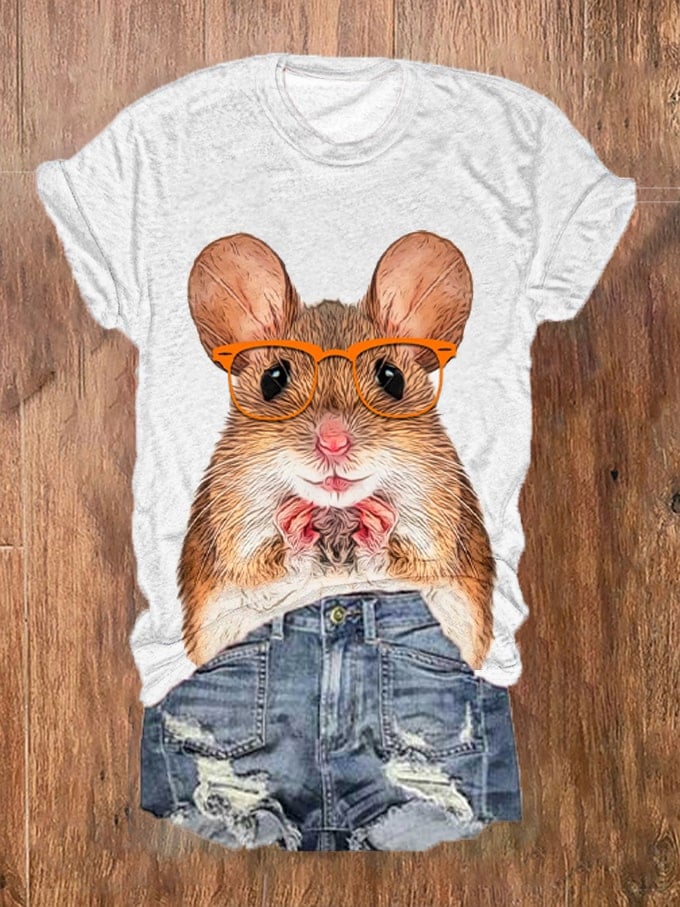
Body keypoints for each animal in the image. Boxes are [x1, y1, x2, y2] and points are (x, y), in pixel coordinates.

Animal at [179, 231, 495, 670]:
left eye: (391, 378)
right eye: (272, 379)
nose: (333, 442)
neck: (336, 518)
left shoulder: (437, 539)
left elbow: (393, 561)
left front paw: (377, 521)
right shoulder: (237, 546)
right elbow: (280, 566)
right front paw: (294, 522)